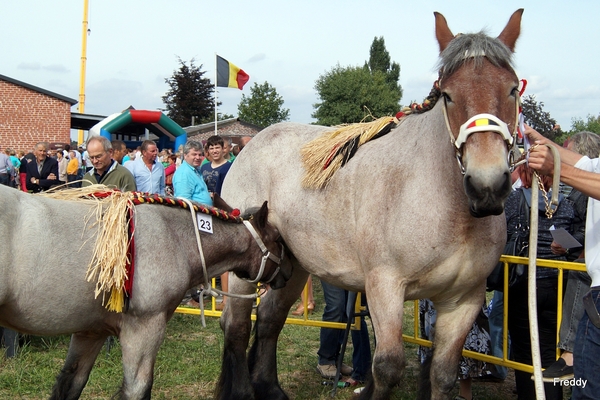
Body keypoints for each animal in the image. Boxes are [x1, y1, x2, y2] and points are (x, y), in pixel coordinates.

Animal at [0, 186, 288, 398]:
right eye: (278, 238)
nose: (288, 273)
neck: (174, 237)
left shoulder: (90, 332)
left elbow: (69, 383)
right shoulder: (144, 329)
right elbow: (137, 390)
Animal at [218, 9, 524, 400]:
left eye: (512, 89)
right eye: (449, 95)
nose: (487, 185)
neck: (446, 209)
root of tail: (250, 146)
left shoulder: (462, 300)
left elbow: (443, 375)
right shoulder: (384, 288)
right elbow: (387, 368)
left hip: (291, 265)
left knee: (270, 320)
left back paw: (271, 389)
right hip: (248, 270)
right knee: (237, 326)